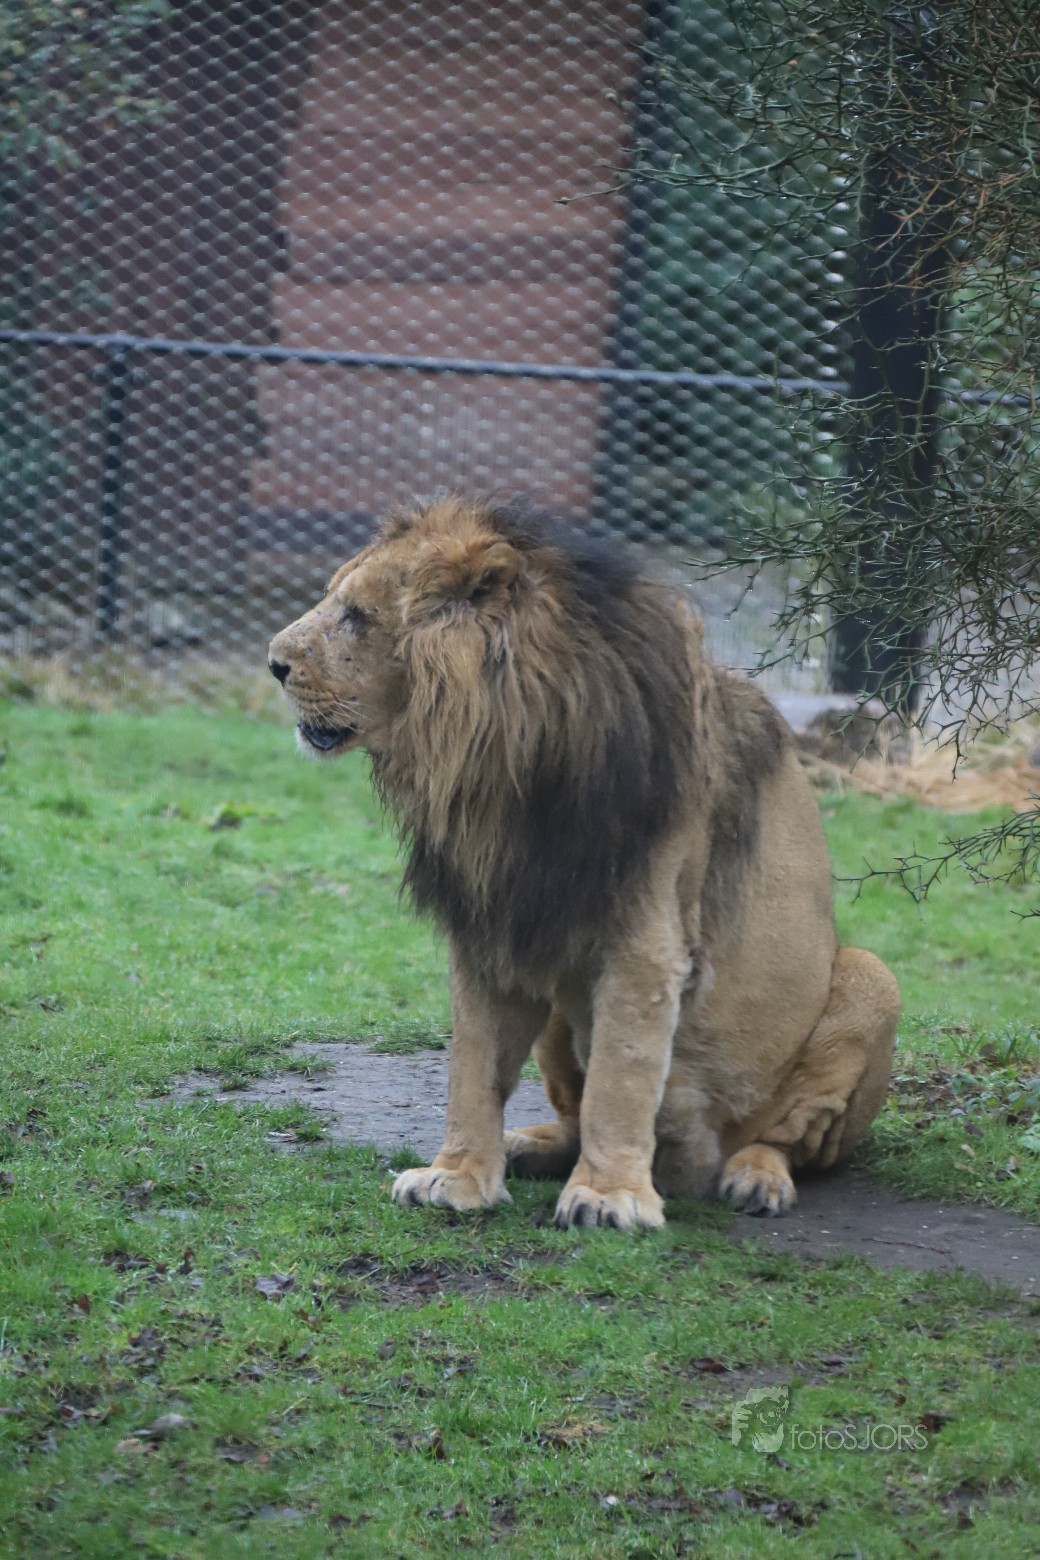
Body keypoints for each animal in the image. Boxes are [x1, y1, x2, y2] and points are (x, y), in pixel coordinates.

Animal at [268, 496, 899, 1231]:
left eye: (356, 615)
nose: (273, 663)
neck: (502, 762)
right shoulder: (496, 923)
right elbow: (473, 1065)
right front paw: (457, 1177)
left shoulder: (645, 939)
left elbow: (620, 1078)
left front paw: (608, 1195)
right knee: (569, 1113)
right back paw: (530, 1146)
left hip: (871, 980)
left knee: (787, 1140)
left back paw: (752, 1178)